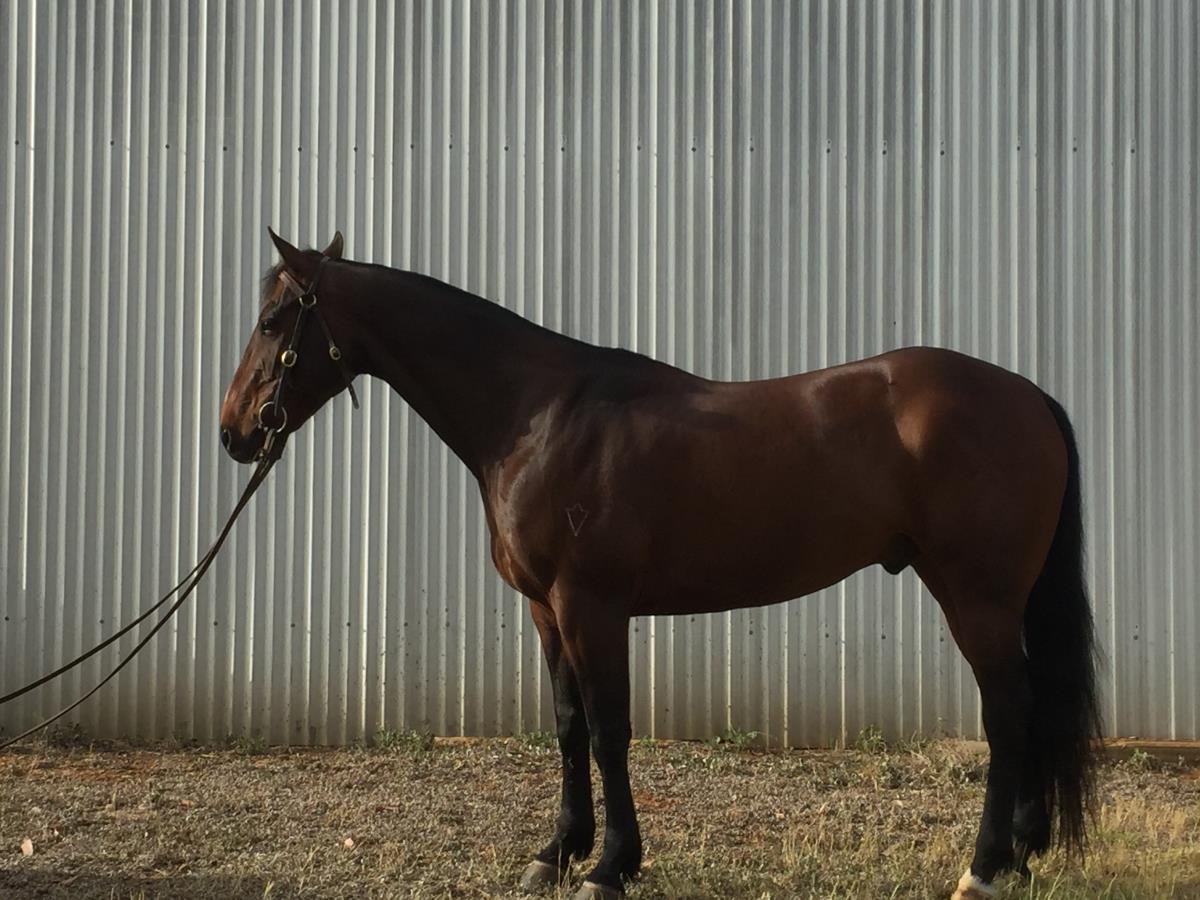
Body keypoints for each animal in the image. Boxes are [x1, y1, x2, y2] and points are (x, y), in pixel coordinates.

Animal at [219, 230, 1102, 900]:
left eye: (272, 320)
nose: (233, 431)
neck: (536, 416)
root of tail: (1029, 396)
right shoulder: (547, 610)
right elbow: (569, 727)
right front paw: (556, 852)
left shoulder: (592, 606)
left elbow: (611, 730)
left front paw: (610, 867)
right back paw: (1022, 854)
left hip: (977, 597)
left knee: (1008, 714)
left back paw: (984, 869)